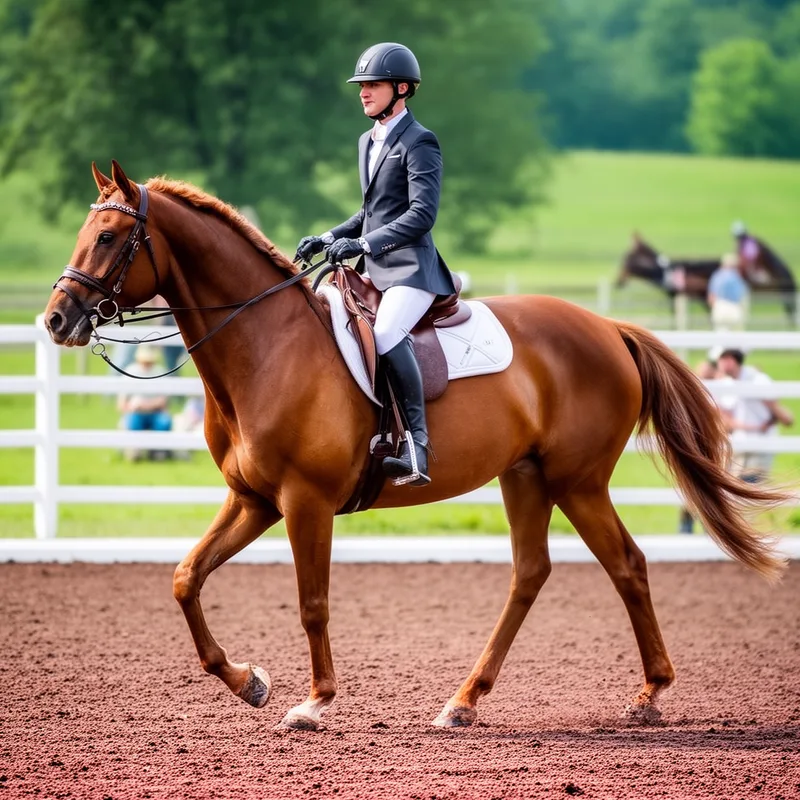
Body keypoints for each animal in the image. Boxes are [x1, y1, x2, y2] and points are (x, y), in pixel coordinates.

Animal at [43, 162, 787, 731]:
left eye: (107, 237)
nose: (55, 320)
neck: (264, 345)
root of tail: (609, 327)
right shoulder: (254, 499)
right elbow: (186, 577)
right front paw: (247, 680)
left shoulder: (305, 502)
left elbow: (312, 603)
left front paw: (313, 704)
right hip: (526, 476)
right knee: (531, 573)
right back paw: (463, 702)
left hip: (578, 481)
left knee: (626, 565)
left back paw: (649, 695)